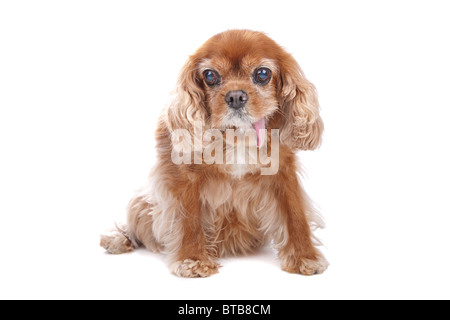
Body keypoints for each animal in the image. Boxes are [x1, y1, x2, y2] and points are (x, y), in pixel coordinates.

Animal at [100, 29, 328, 278]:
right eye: (210, 75)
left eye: (262, 74)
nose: (236, 96)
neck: (237, 135)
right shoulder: (182, 178)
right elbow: (189, 219)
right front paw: (193, 259)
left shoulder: (283, 172)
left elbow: (295, 215)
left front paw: (305, 256)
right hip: (140, 202)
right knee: (134, 228)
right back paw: (118, 239)